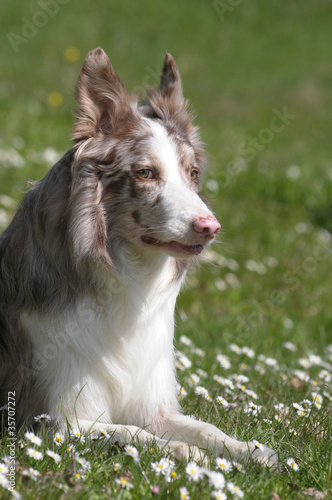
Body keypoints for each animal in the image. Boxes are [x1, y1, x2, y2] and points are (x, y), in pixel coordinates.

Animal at [0, 47, 274, 464]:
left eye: (193, 173)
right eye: (145, 173)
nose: (210, 227)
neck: (127, 283)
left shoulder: (154, 406)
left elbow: (205, 429)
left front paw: (250, 450)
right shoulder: (60, 422)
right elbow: (137, 435)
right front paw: (189, 454)